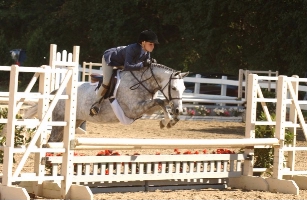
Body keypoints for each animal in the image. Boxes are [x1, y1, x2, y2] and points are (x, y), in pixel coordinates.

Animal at [25, 63, 190, 141]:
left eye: (184, 88)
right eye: (174, 88)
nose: (179, 110)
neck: (140, 82)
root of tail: (59, 91)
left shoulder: (145, 109)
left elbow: (161, 103)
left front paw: (172, 120)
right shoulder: (134, 109)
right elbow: (160, 101)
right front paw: (166, 122)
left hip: (75, 121)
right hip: (60, 121)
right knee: (51, 141)